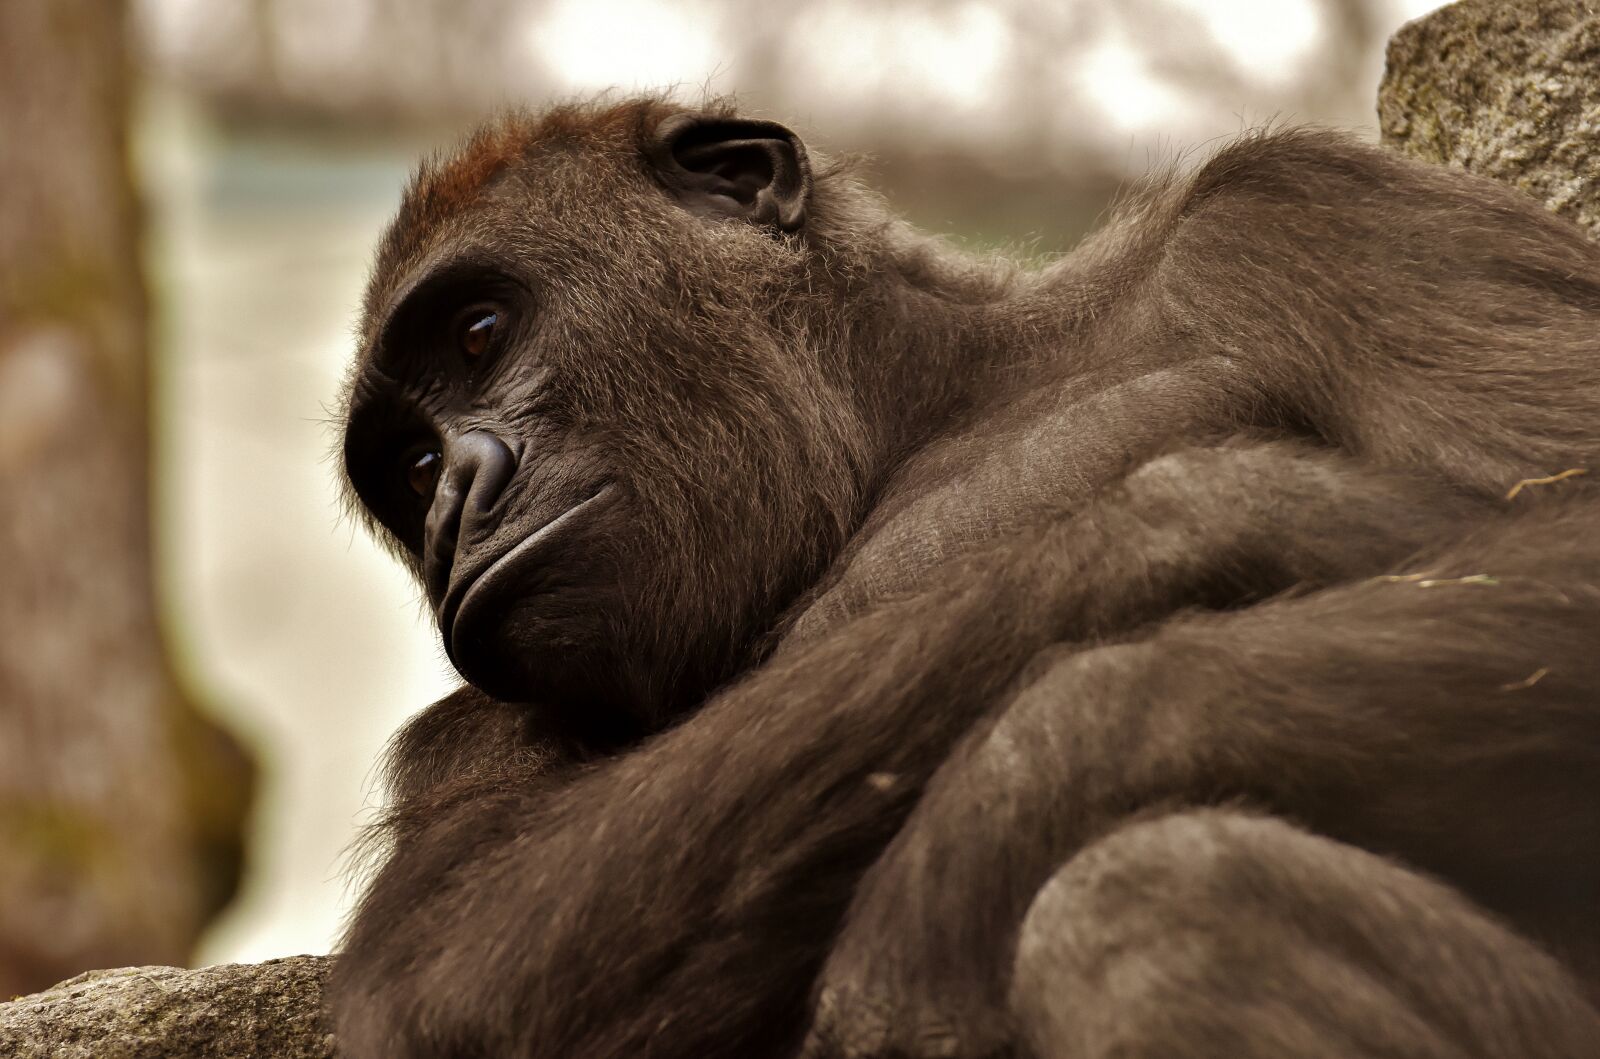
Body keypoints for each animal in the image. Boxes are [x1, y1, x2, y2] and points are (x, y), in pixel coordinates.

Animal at [329, 97, 1600, 1058]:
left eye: (482, 332)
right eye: (412, 464)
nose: (454, 506)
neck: (924, 403)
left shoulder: (1308, 217)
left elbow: (1568, 528)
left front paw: (1016, 800)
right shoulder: (469, 729)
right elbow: (453, 964)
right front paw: (1220, 519)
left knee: (1156, 912)